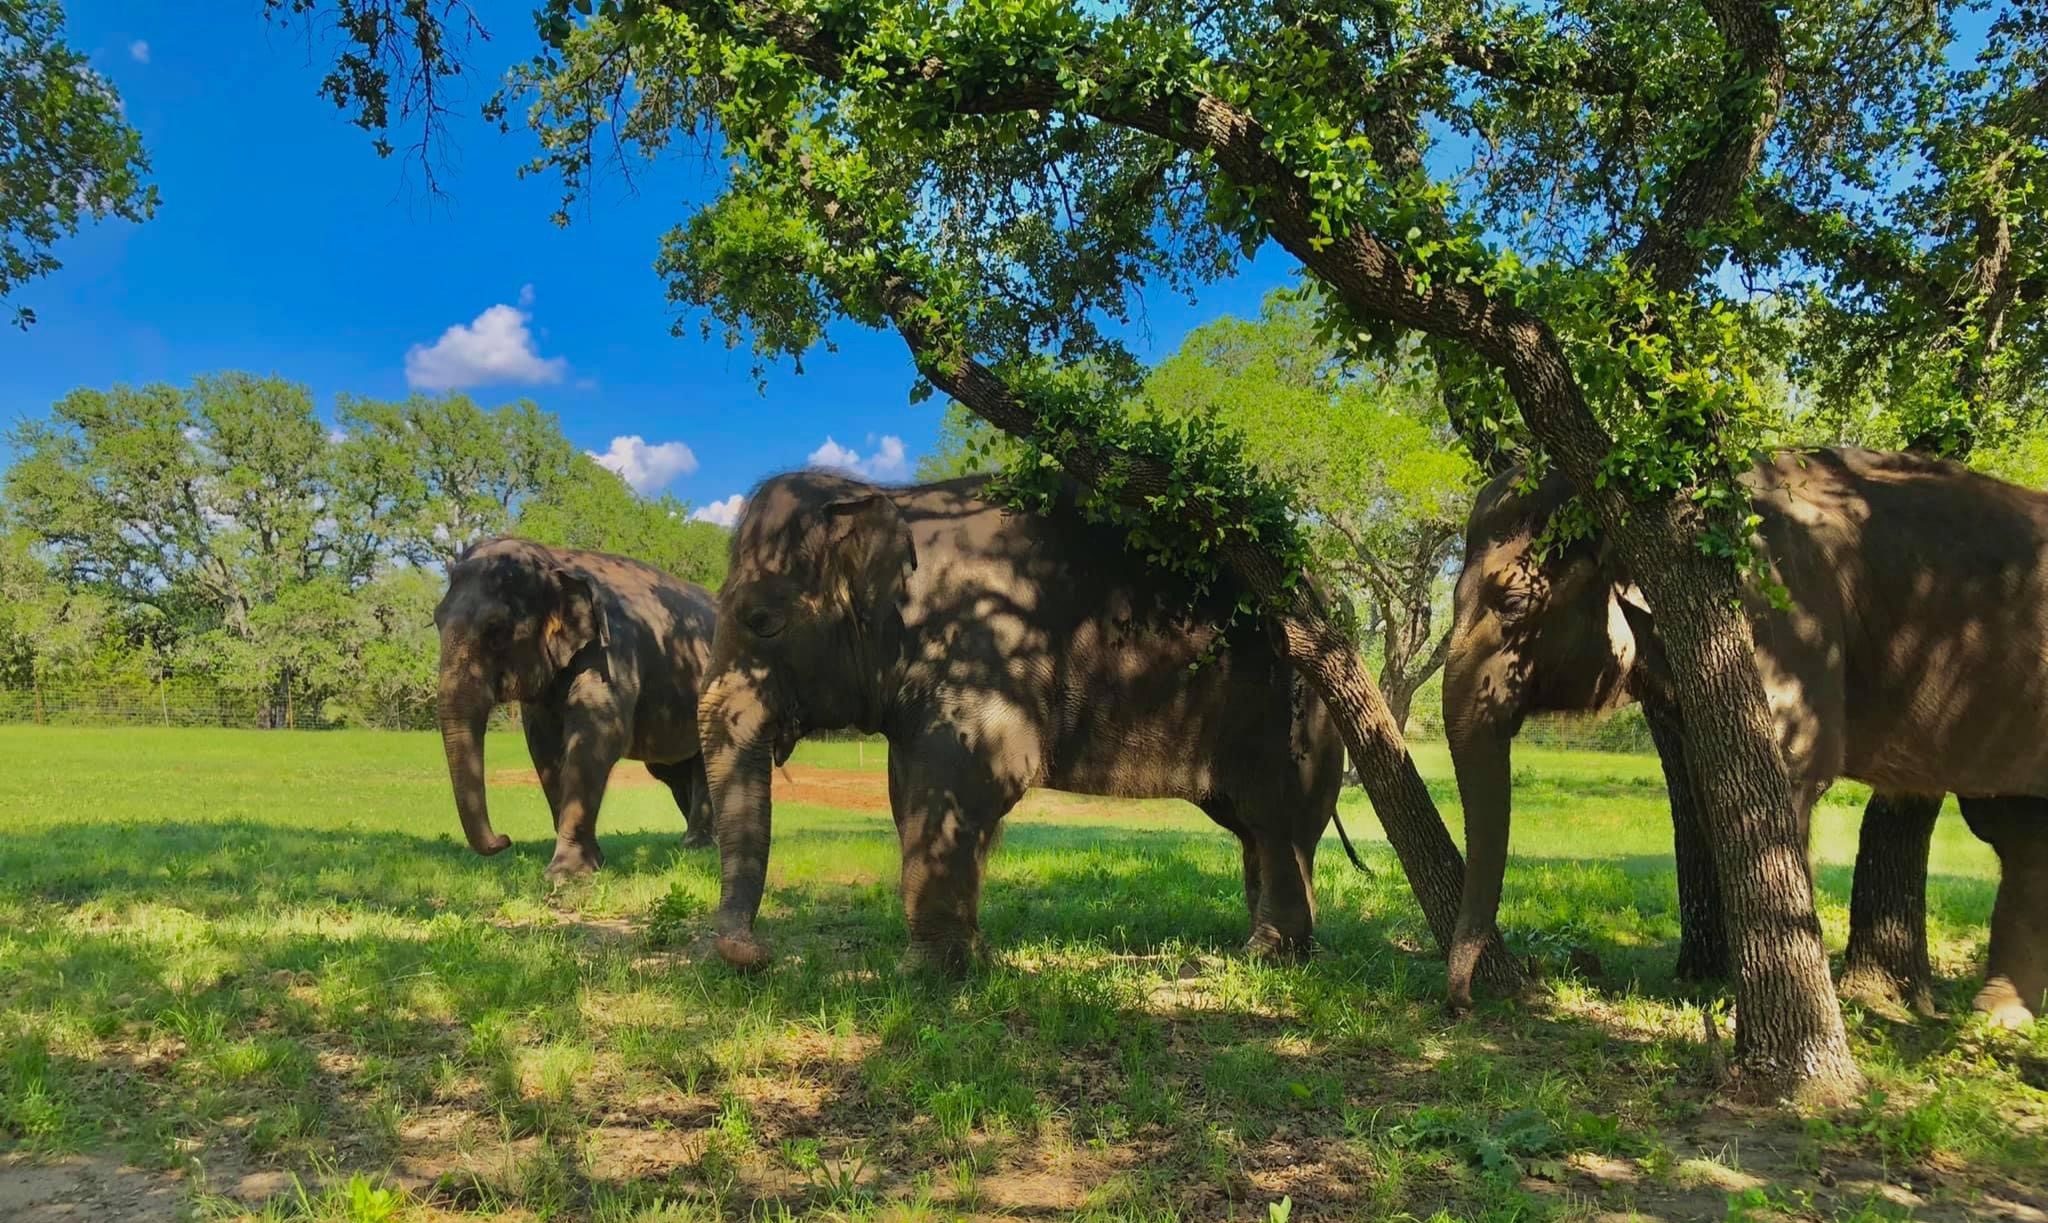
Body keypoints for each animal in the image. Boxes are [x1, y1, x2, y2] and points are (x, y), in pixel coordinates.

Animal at [432, 540, 720, 872]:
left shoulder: (611, 652)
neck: (552, 559)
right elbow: (543, 747)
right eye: (436, 620)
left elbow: (598, 737)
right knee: (673, 770)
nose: (504, 839)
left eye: (496, 630)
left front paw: (567, 873)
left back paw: (698, 846)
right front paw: (593, 862)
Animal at [696, 467, 1351, 971]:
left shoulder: (983, 647)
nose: (760, 955)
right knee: (1251, 829)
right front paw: (975, 959)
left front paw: (924, 975)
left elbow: (968, 782)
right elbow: (913, 795)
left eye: (762, 622)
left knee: (1274, 825)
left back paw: (1266, 956)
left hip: (1289, 718)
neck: (888, 497)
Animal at [1441, 444, 2048, 1024]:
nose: (1464, 1004)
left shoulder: (1777, 605)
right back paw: (1999, 1014)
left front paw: (1748, 1008)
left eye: (1514, 603)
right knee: (2017, 833)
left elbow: (1790, 767)